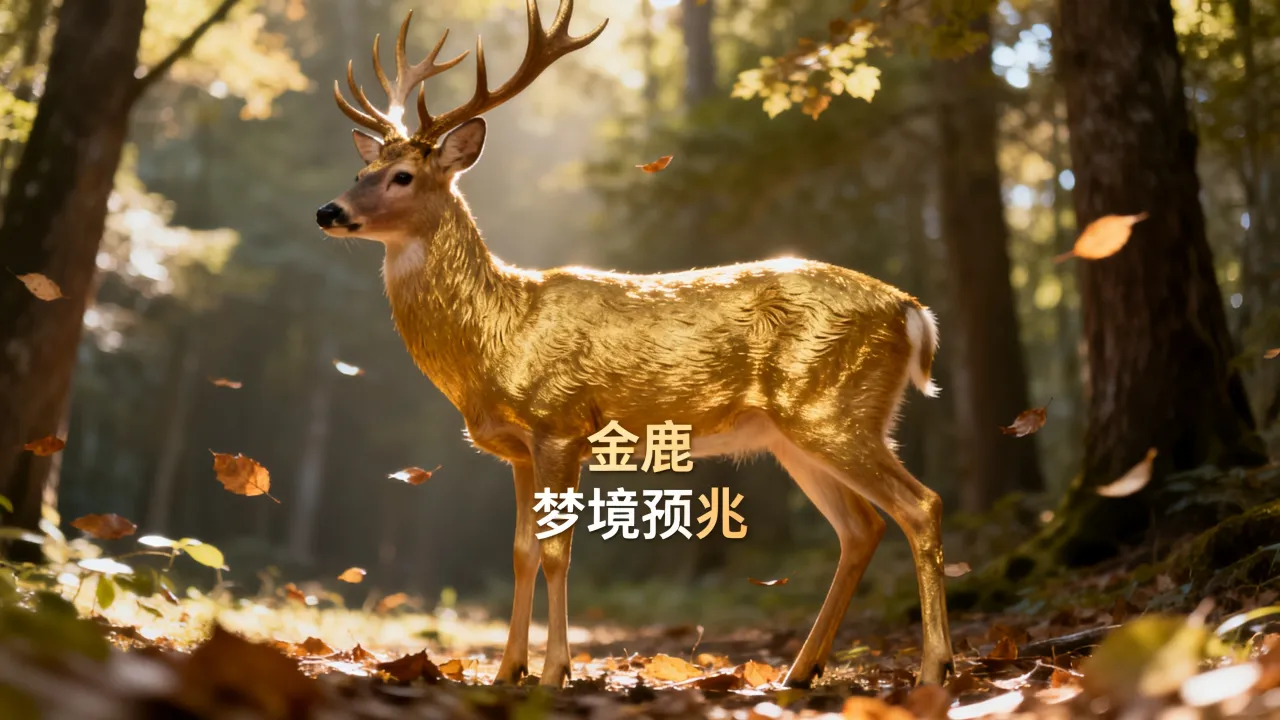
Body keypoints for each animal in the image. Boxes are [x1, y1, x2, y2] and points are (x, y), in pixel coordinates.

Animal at [315, 0, 954, 689]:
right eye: (360, 170)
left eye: (403, 176)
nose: (328, 211)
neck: (500, 335)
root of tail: (913, 312)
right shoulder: (518, 450)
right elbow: (520, 552)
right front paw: (508, 671)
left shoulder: (560, 424)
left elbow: (556, 551)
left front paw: (554, 672)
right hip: (798, 430)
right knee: (860, 527)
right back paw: (799, 673)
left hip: (832, 406)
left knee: (920, 505)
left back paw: (934, 668)